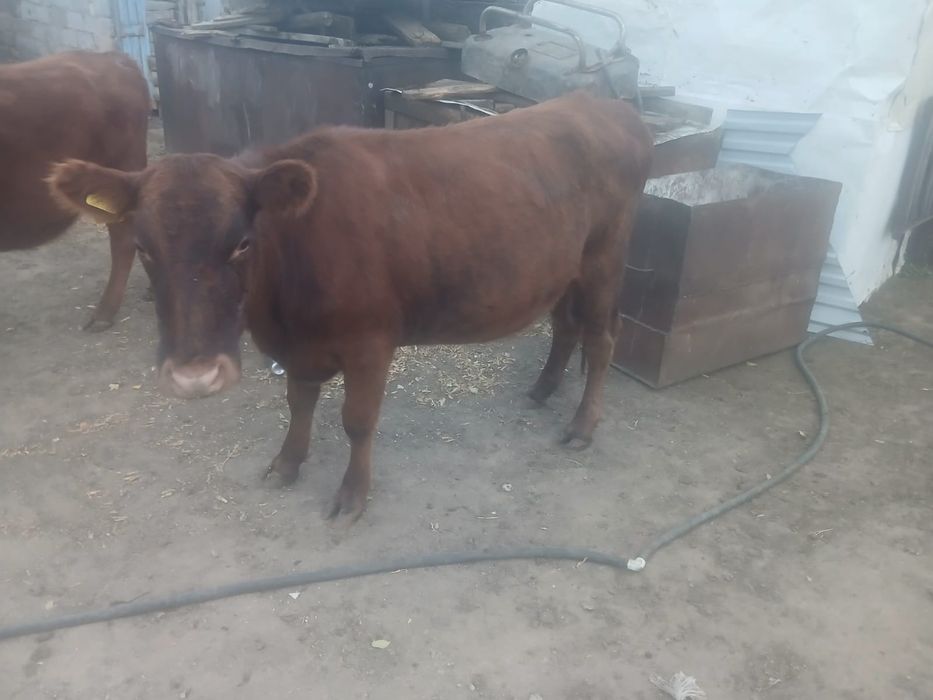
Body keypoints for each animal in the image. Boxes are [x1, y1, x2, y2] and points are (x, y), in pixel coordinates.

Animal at [48, 92, 653, 524]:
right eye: (145, 247)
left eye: (242, 242)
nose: (195, 376)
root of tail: (604, 103)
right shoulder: (298, 345)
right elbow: (299, 402)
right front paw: (287, 463)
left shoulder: (370, 342)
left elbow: (357, 422)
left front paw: (352, 496)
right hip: (564, 268)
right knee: (565, 325)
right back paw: (544, 388)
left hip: (606, 259)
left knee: (601, 339)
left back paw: (582, 425)